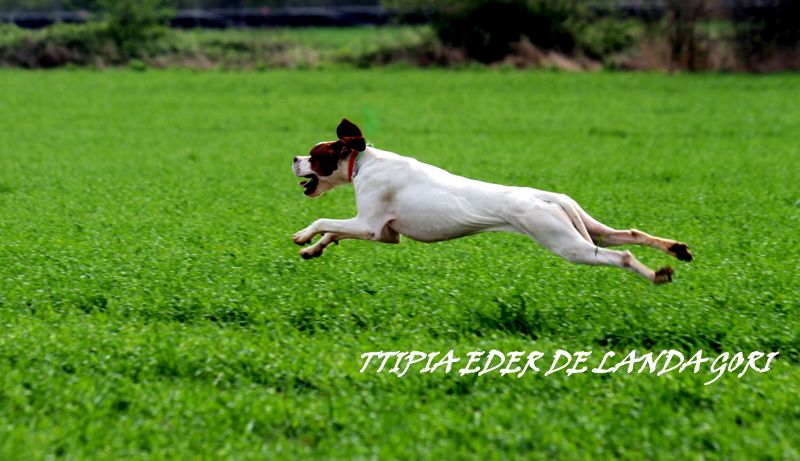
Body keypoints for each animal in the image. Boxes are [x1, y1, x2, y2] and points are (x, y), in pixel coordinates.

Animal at [290, 117, 692, 284]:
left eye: (315, 154)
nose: (293, 158)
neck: (363, 163)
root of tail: (549, 197)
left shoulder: (372, 227)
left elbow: (325, 223)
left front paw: (303, 236)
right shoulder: (386, 234)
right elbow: (334, 233)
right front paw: (314, 249)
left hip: (566, 244)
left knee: (621, 256)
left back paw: (658, 275)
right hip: (588, 229)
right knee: (631, 234)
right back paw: (677, 250)